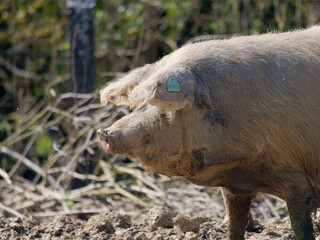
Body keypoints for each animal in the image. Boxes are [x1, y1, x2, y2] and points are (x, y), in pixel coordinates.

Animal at [97, 26, 320, 240]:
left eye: (165, 106)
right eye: (142, 105)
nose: (103, 132)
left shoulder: (294, 171)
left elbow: (300, 224)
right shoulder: (235, 186)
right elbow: (234, 222)